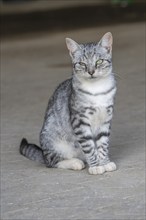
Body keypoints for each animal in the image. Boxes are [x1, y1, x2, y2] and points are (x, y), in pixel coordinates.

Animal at [20, 31, 117, 174]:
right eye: (82, 63)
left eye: (99, 61)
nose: (91, 71)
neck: (97, 90)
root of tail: (43, 153)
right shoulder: (80, 121)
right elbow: (89, 147)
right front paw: (95, 166)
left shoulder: (105, 119)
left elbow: (102, 144)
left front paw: (105, 162)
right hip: (53, 140)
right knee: (52, 162)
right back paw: (74, 162)